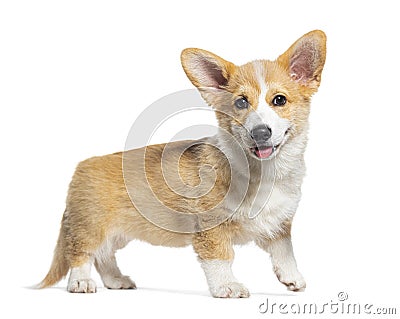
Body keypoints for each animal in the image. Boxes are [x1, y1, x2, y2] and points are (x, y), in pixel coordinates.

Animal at [39, 30, 324, 298]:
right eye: (241, 102)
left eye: (279, 100)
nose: (260, 132)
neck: (264, 173)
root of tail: (82, 166)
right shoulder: (211, 227)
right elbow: (221, 258)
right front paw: (227, 286)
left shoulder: (279, 225)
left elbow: (285, 251)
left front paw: (293, 278)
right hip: (91, 227)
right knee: (82, 253)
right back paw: (80, 282)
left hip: (117, 233)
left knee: (104, 256)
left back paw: (116, 280)